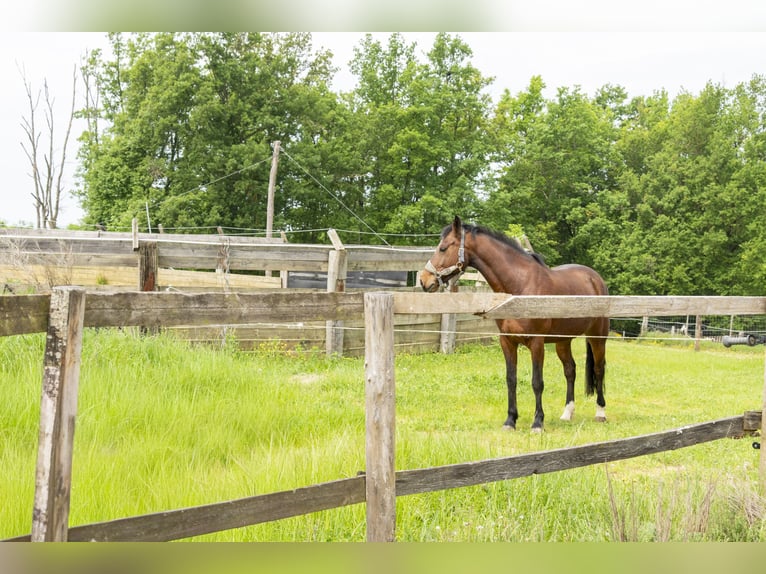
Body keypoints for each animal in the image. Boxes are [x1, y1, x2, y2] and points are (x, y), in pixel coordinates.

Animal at [420, 216, 609, 432]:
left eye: (443, 248)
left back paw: (600, 413)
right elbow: (511, 379)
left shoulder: (537, 343)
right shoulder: (507, 341)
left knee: (599, 369)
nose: (424, 280)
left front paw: (537, 423)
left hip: (597, 337)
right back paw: (567, 413)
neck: (520, 287)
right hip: (563, 341)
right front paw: (510, 420)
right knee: (570, 370)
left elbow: (537, 382)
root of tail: (595, 278)